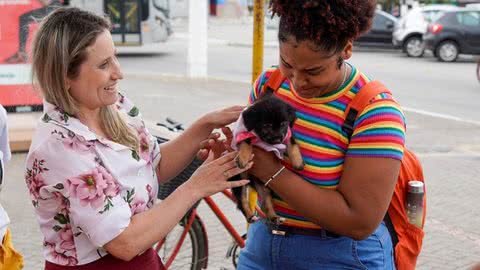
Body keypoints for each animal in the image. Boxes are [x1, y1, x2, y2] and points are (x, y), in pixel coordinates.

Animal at [230, 89, 304, 223]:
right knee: (241, 201)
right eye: (266, 126)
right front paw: (243, 158)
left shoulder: (288, 134)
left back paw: (274, 217)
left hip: (264, 188)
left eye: (284, 124)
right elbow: (246, 143)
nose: (278, 139)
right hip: (239, 180)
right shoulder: (243, 134)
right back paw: (250, 216)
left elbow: (292, 144)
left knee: (266, 203)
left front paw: (298, 162)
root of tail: (252, 181)